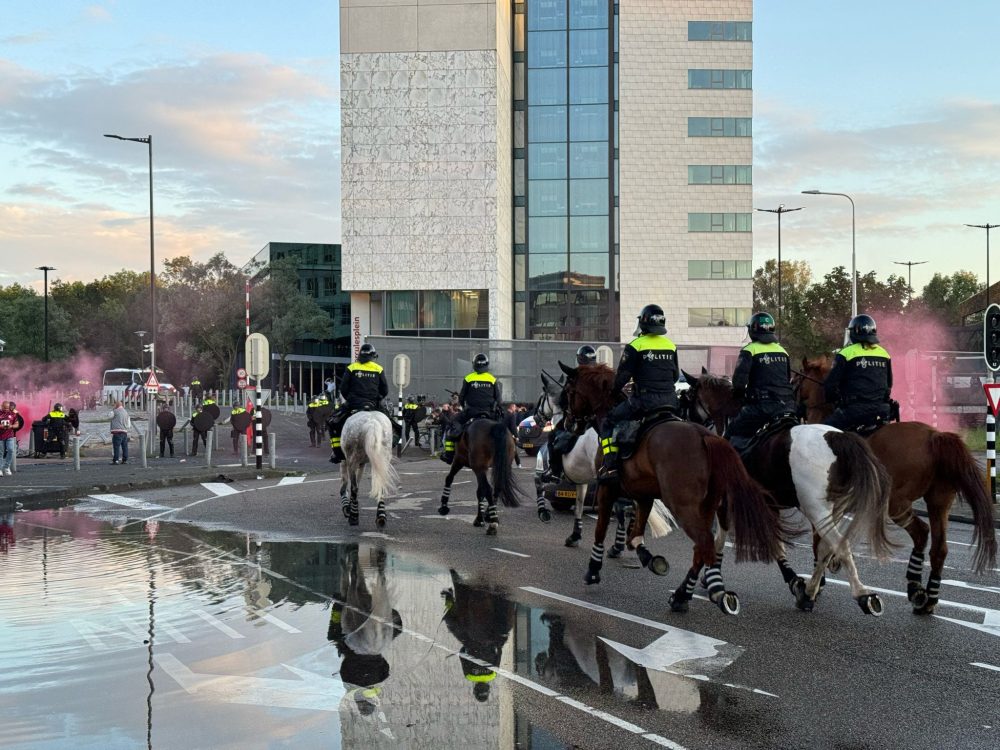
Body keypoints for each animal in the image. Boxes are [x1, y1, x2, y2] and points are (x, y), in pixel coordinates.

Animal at [540, 374, 672, 560]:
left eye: (541, 397)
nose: (536, 416)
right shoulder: (581, 479)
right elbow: (579, 504)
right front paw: (575, 535)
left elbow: (542, 483)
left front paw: (544, 514)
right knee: (632, 507)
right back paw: (631, 540)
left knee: (624, 508)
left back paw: (621, 544)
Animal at [560, 362, 784, 616]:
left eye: (569, 391)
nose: (568, 423)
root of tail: (706, 436)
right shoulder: (643, 495)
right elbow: (636, 533)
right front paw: (648, 557)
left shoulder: (608, 489)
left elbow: (601, 530)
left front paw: (593, 570)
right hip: (706, 507)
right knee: (701, 549)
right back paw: (682, 595)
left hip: (684, 507)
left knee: (704, 544)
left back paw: (703, 592)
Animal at [792, 358, 996, 616]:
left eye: (797, 379)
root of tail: (934, 436)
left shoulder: (820, 506)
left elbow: (819, 542)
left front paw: (815, 587)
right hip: (939, 502)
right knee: (939, 548)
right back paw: (928, 598)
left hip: (896, 503)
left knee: (921, 533)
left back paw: (915, 588)